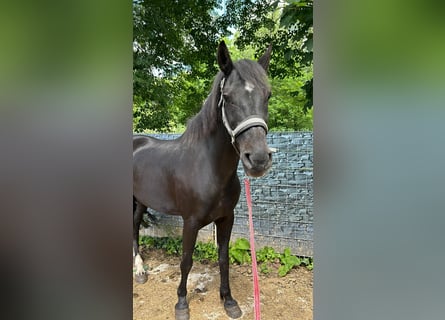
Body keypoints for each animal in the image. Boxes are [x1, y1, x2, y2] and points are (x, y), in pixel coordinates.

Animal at [133, 41, 270, 318]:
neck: (208, 169)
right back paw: (139, 269)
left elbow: (223, 258)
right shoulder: (191, 221)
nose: (259, 159)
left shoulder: (226, 218)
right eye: (227, 97)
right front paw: (181, 303)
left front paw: (229, 300)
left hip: (141, 200)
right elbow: (186, 261)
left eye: (268, 96)